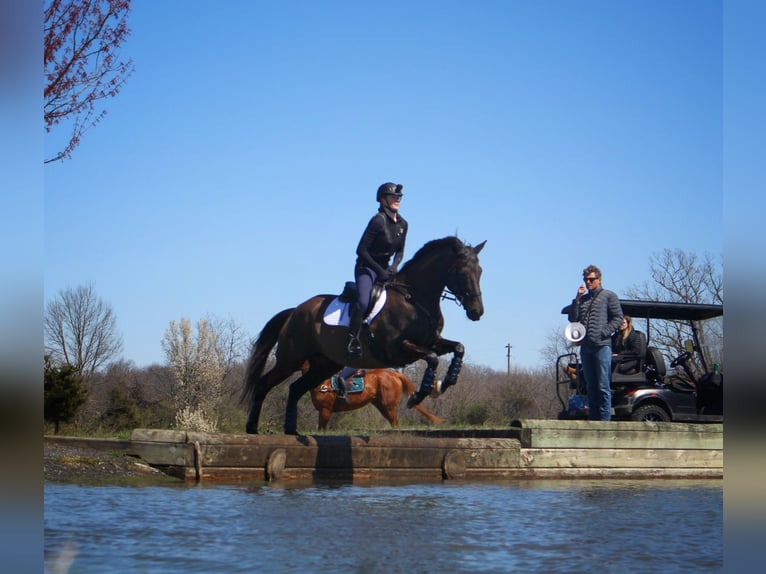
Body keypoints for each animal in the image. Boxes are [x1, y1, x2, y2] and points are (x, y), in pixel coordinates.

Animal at [308, 368, 448, 432]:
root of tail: (395, 374)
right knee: (393, 421)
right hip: (381, 405)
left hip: (388, 405)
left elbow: (321, 428)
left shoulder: (325, 410)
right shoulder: (323, 411)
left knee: (394, 421)